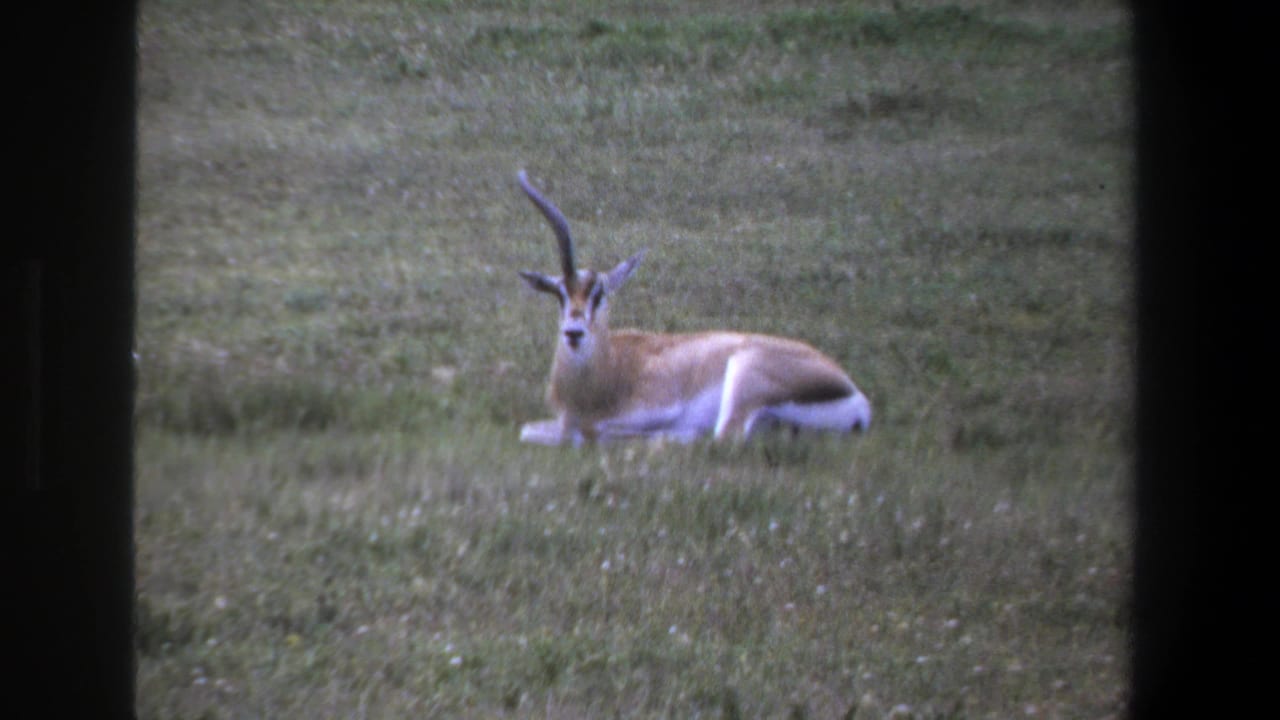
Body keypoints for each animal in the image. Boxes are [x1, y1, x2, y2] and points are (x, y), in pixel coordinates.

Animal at [515, 170, 871, 446]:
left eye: (599, 294)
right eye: (559, 293)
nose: (573, 332)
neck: (611, 368)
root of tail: (853, 392)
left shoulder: (656, 409)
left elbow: (587, 432)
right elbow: (529, 430)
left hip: (742, 376)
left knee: (719, 437)